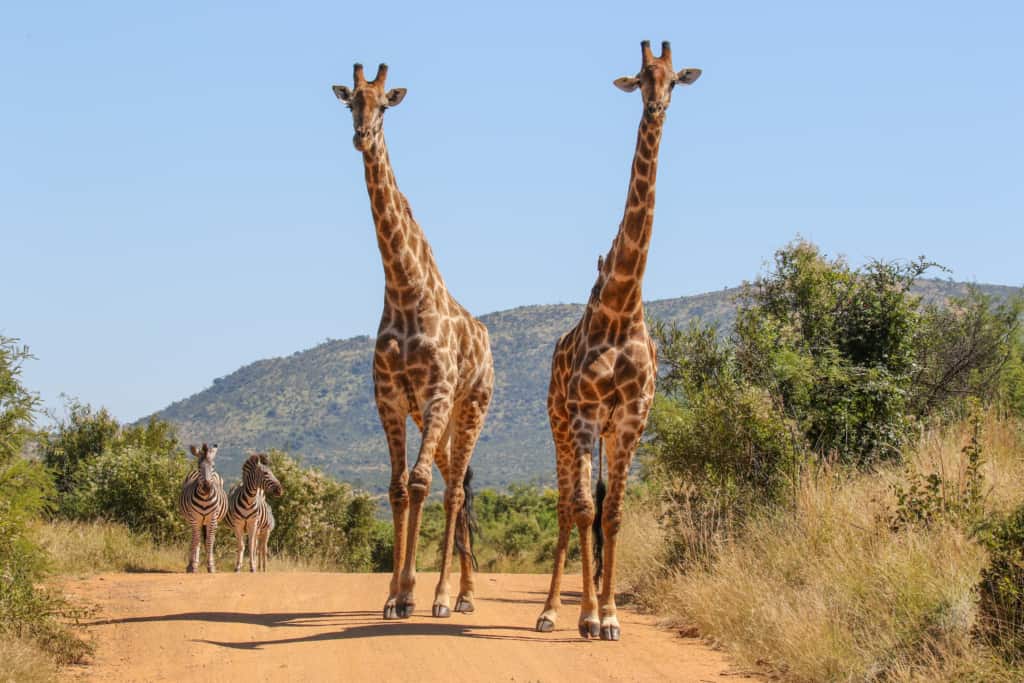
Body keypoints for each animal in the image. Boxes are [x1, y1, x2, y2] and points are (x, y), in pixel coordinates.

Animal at [179, 444, 229, 573]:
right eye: (199, 466)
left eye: (213, 466)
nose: (207, 487)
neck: (205, 499)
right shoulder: (195, 519)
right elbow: (196, 540)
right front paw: (193, 565)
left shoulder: (212, 519)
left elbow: (210, 541)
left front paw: (211, 566)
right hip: (195, 520)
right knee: (194, 538)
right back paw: (191, 563)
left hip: (209, 521)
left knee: (208, 539)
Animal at [331, 62, 491, 618]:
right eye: (351, 101)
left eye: (384, 104)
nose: (361, 136)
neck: (403, 288)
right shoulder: (390, 398)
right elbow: (398, 488)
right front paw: (394, 594)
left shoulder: (438, 392)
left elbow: (419, 485)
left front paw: (413, 594)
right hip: (432, 420)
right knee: (450, 483)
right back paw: (465, 593)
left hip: (468, 409)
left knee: (454, 492)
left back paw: (448, 597)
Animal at [536, 41, 696, 643]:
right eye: (641, 78)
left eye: (674, 79)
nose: (657, 107)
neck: (623, 302)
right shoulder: (584, 412)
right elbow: (585, 510)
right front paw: (584, 615)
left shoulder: (630, 419)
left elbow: (615, 513)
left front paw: (609, 617)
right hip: (560, 425)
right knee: (566, 506)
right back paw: (549, 611)